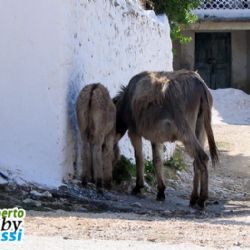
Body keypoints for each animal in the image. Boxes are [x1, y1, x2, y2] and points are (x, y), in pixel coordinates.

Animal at [114, 69, 218, 208]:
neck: (125, 100)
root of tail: (200, 84)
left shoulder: (133, 131)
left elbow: (139, 157)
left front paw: (138, 187)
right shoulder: (155, 137)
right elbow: (157, 160)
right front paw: (161, 191)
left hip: (185, 130)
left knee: (202, 157)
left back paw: (202, 200)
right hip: (200, 130)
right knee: (196, 161)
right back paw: (193, 198)